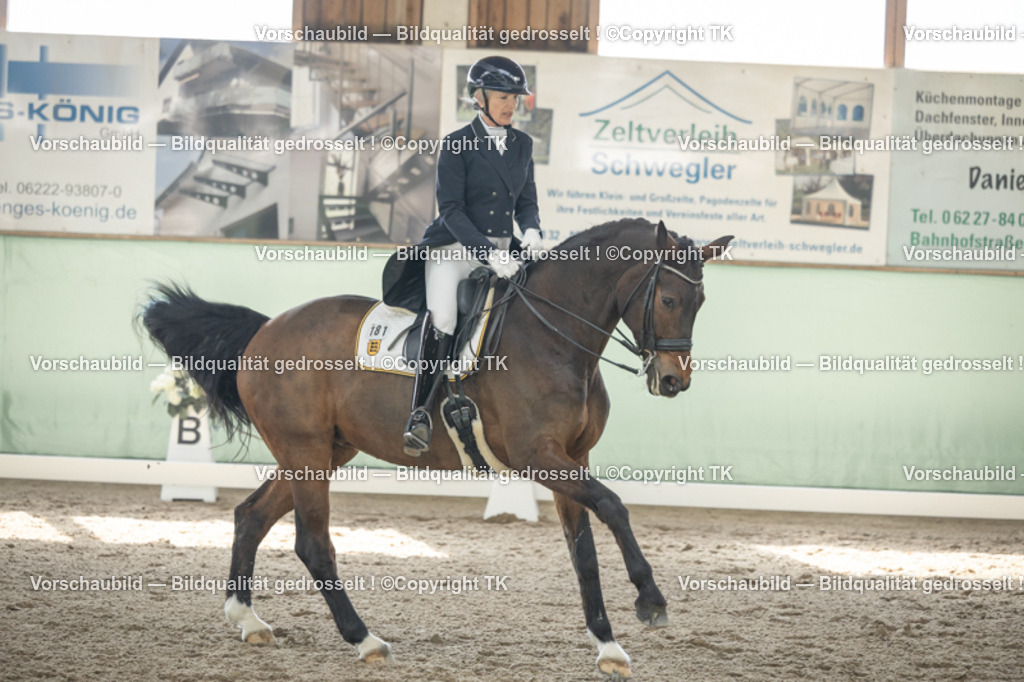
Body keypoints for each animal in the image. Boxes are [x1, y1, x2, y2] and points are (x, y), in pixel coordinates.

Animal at [140, 218, 733, 678]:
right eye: (670, 298)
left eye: (703, 301)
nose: (674, 380)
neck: (555, 337)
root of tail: (266, 331)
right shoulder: (539, 457)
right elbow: (614, 506)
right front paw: (650, 600)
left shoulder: (573, 458)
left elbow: (582, 551)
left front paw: (608, 645)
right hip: (305, 453)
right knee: (312, 543)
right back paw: (364, 639)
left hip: (321, 452)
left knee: (250, 516)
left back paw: (248, 620)